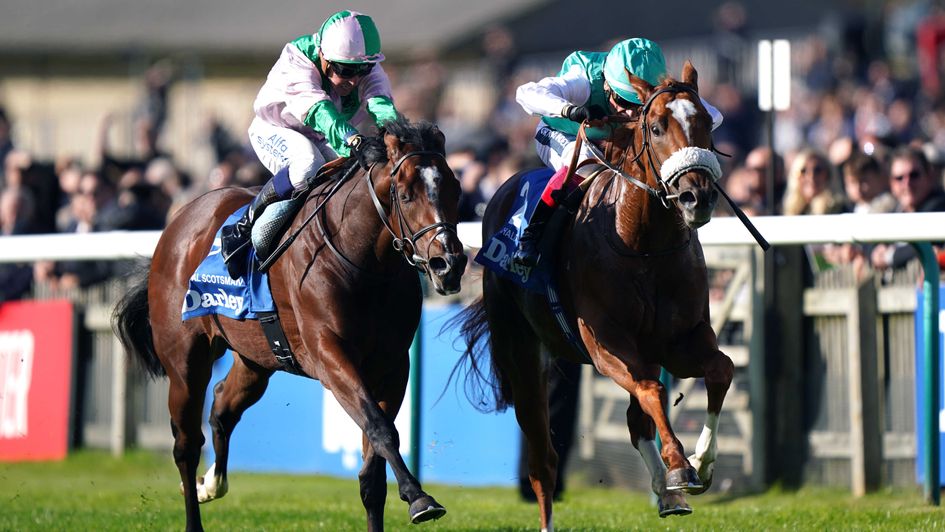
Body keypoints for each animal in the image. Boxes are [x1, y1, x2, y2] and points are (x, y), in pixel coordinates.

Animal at [112, 118, 466, 528]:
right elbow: (380, 428)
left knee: (222, 405)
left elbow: (373, 471)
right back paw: (194, 508)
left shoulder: (393, 365)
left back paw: (210, 483)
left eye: (455, 189)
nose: (448, 264)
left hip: (257, 357)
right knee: (185, 444)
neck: (364, 263)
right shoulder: (329, 353)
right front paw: (418, 497)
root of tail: (177, 224)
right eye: (406, 195)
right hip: (185, 359)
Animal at [456, 62, 732, 528]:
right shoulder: (605, 343)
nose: (697, 196)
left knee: (636, 418)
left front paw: (701, 464)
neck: (641, 243)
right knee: (543, 458)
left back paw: (667, 495)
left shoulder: (679, 340)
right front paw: (680, 465)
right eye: (656, 127)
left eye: (706, 125)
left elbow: (720, 370)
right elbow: (653, 391)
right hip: (522, 354)